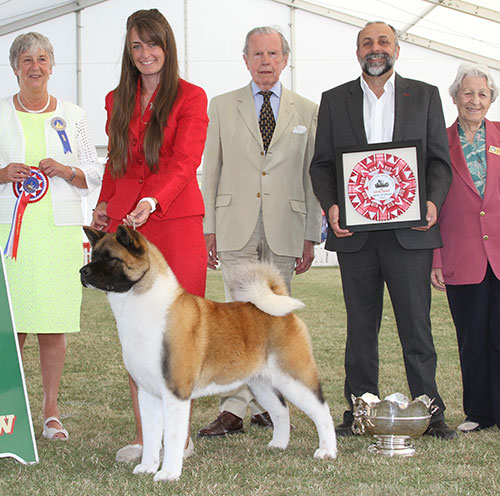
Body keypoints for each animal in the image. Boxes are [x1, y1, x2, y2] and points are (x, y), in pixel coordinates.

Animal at [80, 227, 338, 482]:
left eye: (111, 258)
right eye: (94, 255)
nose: (82, 271)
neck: (145, 307)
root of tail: (283, 312)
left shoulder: (176, 392)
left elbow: (172, 437)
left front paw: (169, 473)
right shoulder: (147, 393)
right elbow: (152, 435)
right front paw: (147, 466)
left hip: (294, 376)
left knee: (321, 410)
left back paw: (327, 451)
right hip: (260, 383)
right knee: (281, 410)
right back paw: (278, 444)